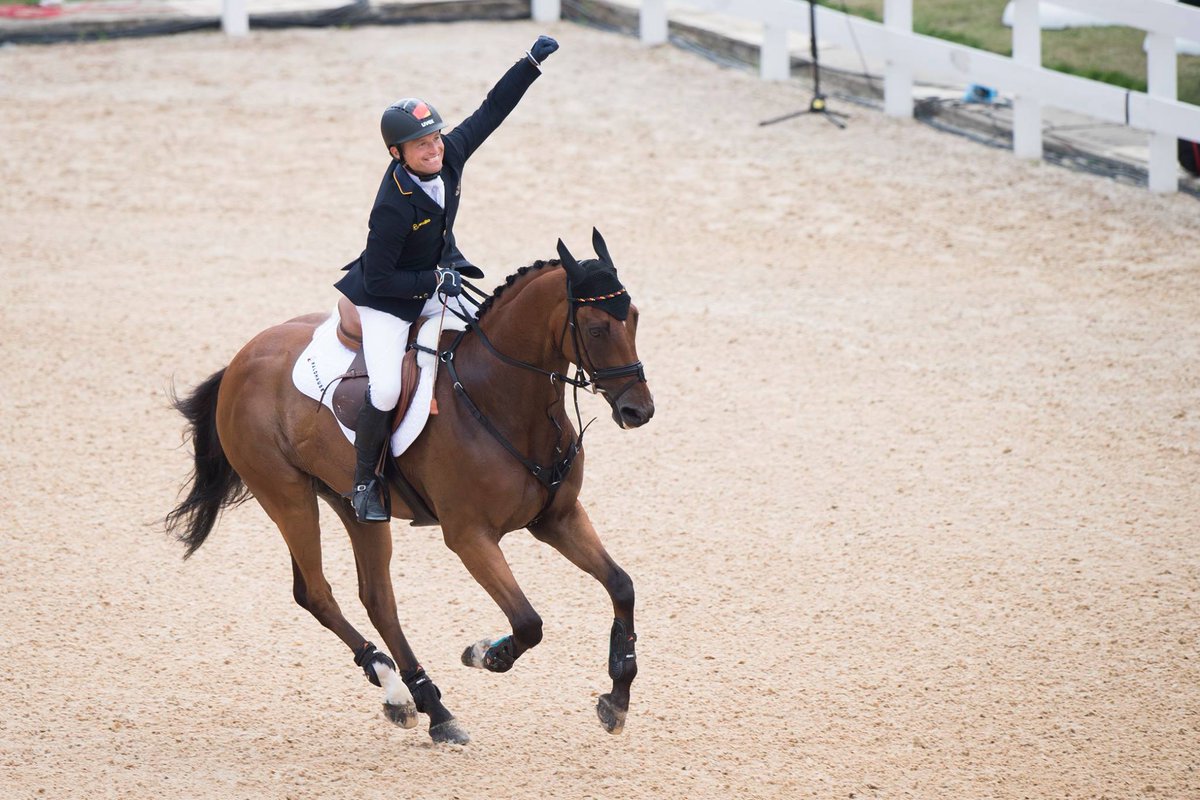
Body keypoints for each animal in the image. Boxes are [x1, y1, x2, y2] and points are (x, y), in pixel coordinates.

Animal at [164, 230, 652, 743]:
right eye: (596, 329)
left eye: (635, 318)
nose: (639, 411)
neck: (500, 397)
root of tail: (240, 360)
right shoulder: (469, 536)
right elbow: (528, 622)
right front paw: (487, 654)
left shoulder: (558, 518)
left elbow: (621, 586)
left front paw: (617, 698)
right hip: (288, 497)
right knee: (316, 592)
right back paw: (403, 690)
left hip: (353, 505)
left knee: (377, 599)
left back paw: (424, 703)